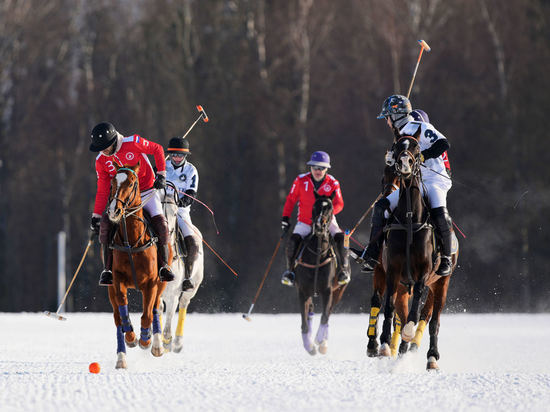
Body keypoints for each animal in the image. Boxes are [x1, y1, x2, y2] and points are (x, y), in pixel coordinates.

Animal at [105, 163, 169, 368]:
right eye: (111, 182)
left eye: (132, 183)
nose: (114, 211)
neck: (131, 242)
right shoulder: (117, 281)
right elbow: (123, 315)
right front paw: (132, 337)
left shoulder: (152, 283)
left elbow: (148, 314)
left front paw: (146, 340)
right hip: (110, 288)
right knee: (117, 319)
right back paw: (121, 358)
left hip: (162, 282)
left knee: (156, 308)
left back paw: (156, 345)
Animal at [160, 192, 205, 352]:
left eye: (175, 213)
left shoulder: (173, 295)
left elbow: (167, 329)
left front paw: (166, 343)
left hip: (193, 286)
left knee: (184, 303)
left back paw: (177, 343)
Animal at [296, 192, 348, 354]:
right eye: (314, 206)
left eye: (330, 208)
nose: (319, 225)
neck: (317, 253)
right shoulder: (302, 290)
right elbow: (304, 322)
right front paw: (309, 346)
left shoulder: (328, 290)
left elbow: (325, 316)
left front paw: (319, 340)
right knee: (311, 312)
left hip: (339, 291)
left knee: (329, 312)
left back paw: (323, 343)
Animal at [378, 136, 460, 370]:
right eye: (398, 146)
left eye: (415, 147)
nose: (404, 163)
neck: (410, 218)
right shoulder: (393, 271)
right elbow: (389, 307)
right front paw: (385, 346)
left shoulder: (424, 272)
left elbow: (415, 311)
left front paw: (408, 332)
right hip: (405, 285)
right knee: (404, 313)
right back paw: (402, 351)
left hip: (442, 282)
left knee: (434, 321)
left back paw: (432, 357)